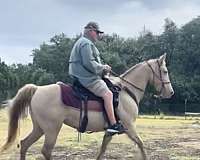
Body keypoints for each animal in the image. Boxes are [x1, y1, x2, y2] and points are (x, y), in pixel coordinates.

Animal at [0, 53, 173, 159]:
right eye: (164, 71)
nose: (171, 92)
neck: (126, 90)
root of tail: (37, 89)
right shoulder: (129, 127)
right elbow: (141, 145)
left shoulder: (109, 132)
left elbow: (102, 151)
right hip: (51, 129)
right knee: (46, 151)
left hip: (39, 128)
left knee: (24, 144)